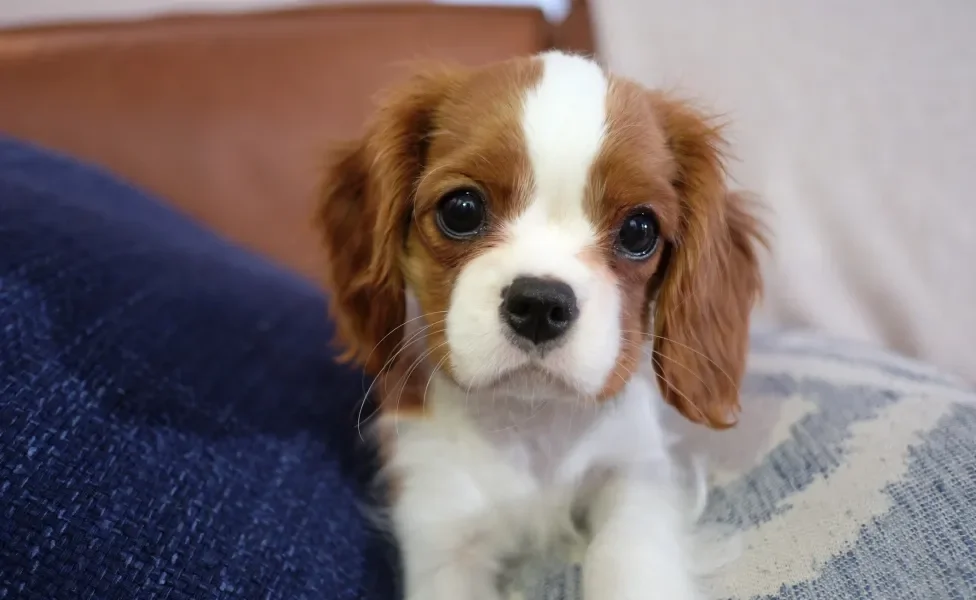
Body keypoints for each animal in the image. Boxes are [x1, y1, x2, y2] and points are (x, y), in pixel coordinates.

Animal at [318, 52, 764, 600]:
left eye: (639, 231)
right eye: (461, 209)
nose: (539, 304)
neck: (531, 420)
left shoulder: (636, 468)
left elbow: (625, 550)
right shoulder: (440, 523)